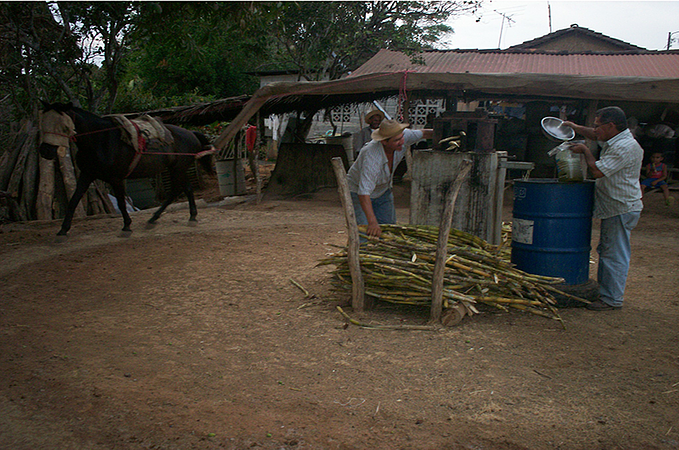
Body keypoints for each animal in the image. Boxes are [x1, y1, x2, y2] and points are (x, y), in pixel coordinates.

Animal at [36, 100, 215, 237]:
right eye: (43, 122)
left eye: (60, 124)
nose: (45, 151)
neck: (99, 139)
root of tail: (191, 133)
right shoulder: (87, 174)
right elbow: (73, 200)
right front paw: (63, 230)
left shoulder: (116, 178)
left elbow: (122, 203)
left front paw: (126, 226)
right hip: (176, 168)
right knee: (184, 189)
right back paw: (173, 218)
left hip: (178, 168)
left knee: (179, 190)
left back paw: (170, 218)